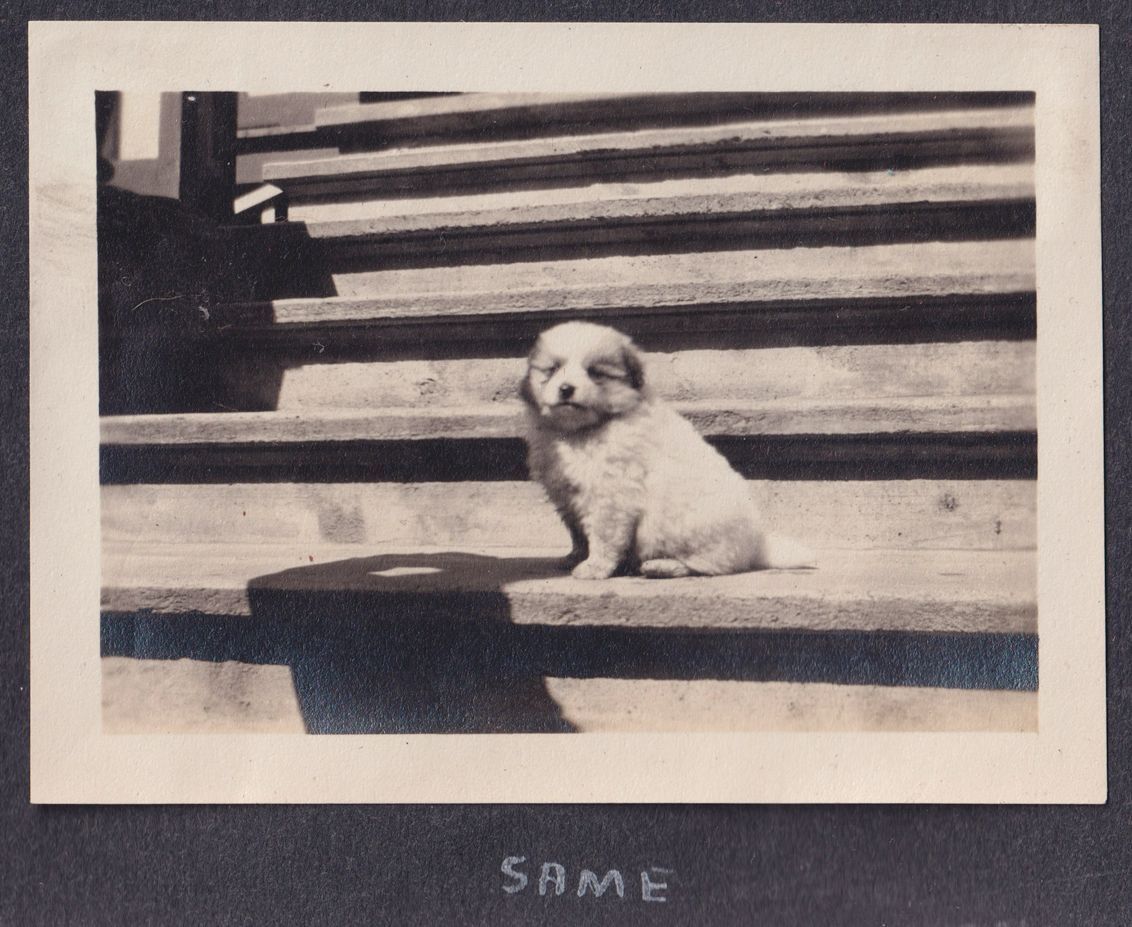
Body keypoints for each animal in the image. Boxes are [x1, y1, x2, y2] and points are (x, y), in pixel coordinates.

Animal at [520, 321, 816, 579]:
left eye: (594, 372)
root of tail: (757, 544)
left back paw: (663, 566)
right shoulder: (566, 497)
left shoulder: (612, 497)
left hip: (689, 527)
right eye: (552, 369)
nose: (566, 389)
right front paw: (575, 557)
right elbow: (578, 533)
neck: (579, 431)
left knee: (711, 565)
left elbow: (604, 536)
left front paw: (594, 567)